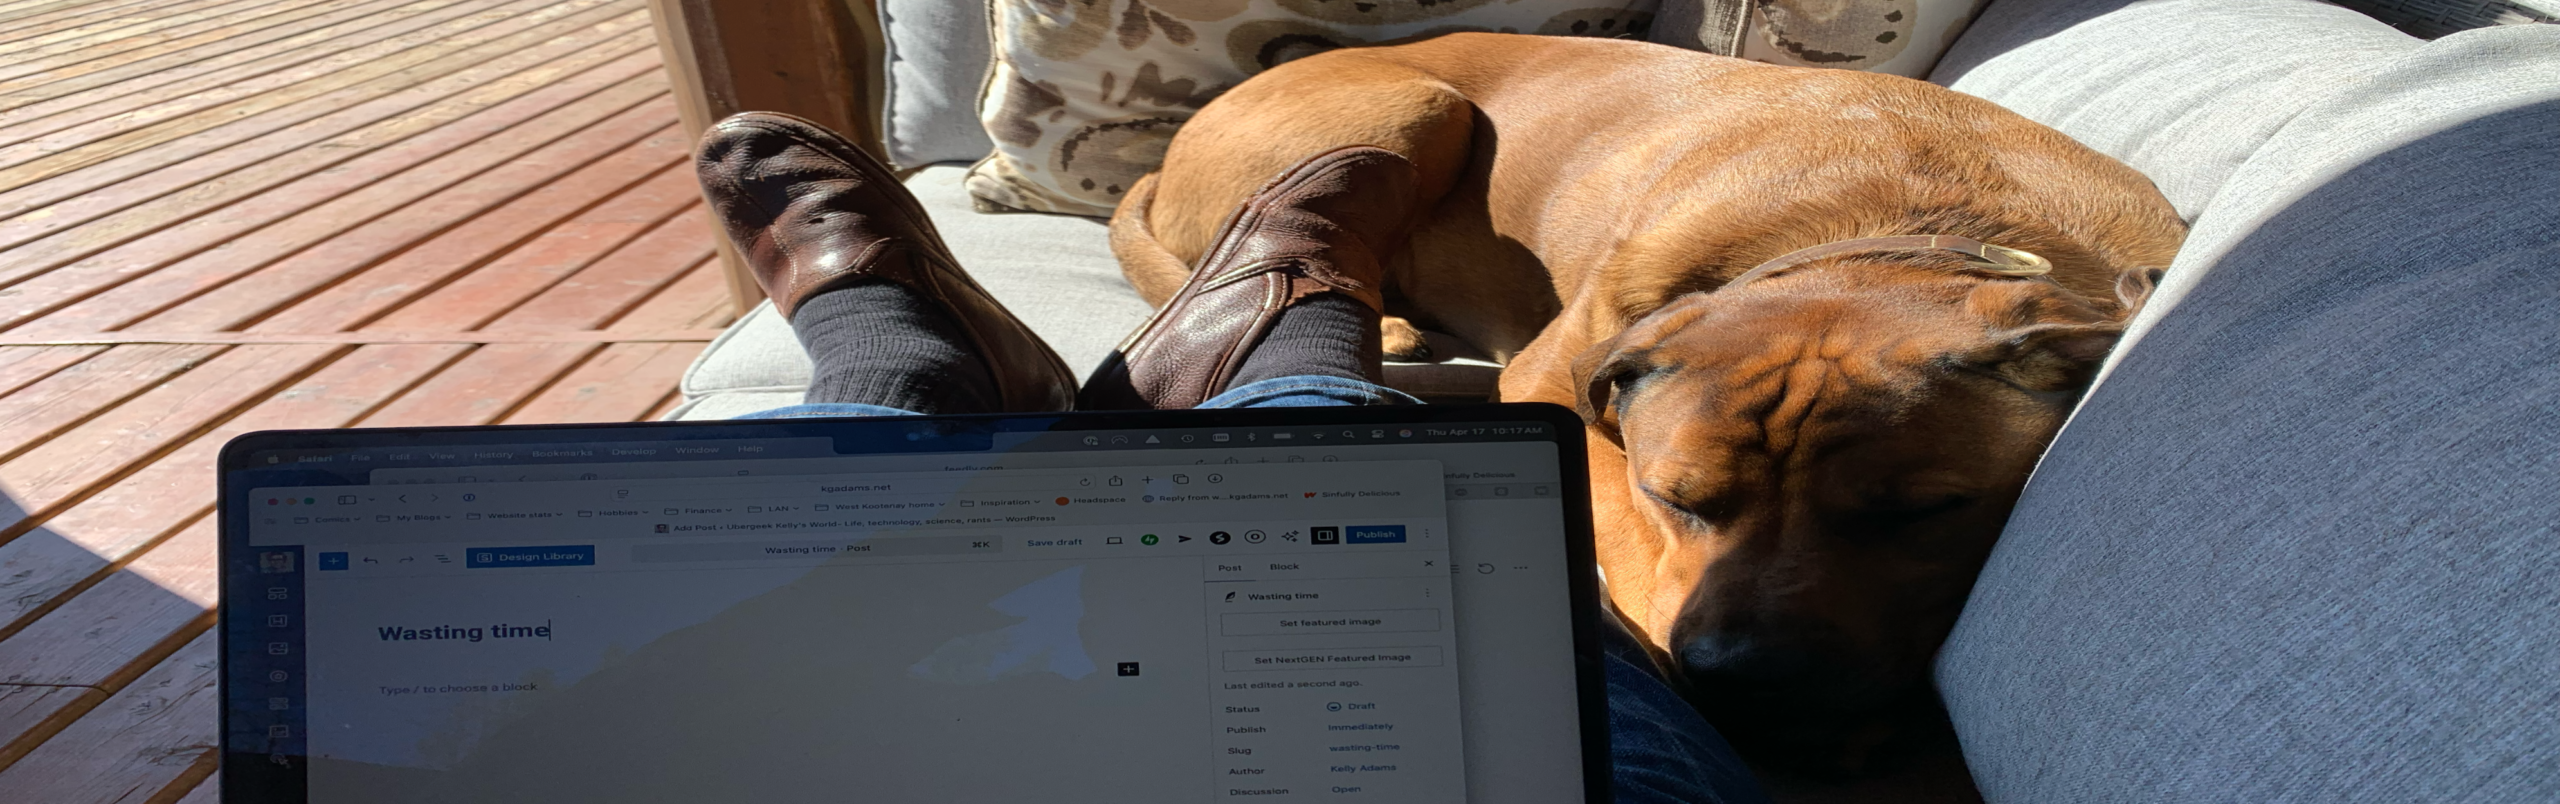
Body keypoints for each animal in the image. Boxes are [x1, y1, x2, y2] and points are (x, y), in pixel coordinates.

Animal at [1109, 33, 2185, 772]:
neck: (1907, 225)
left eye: (1923, 513)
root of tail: (1162, 159)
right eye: (1675, 497)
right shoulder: (1553, 385)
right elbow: (1624, 534)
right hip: (1416, 101)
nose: (1743, 674)